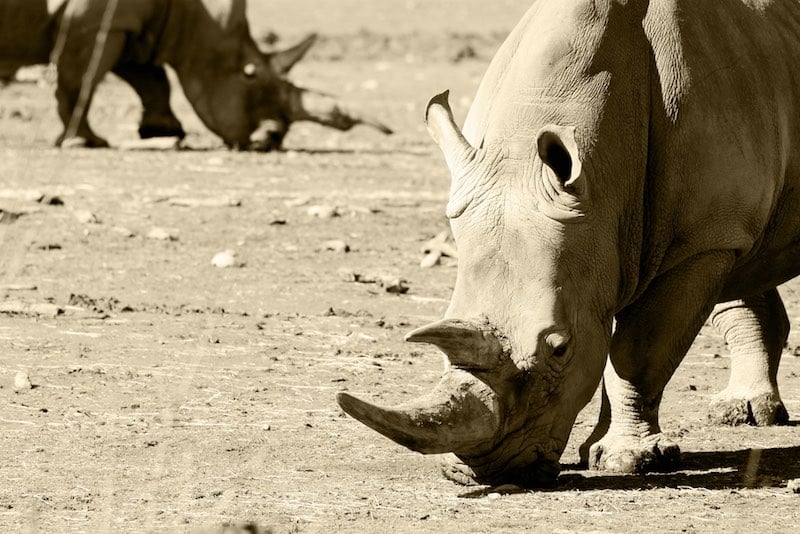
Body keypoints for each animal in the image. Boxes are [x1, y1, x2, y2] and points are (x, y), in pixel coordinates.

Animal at [0, 0, 390, 150]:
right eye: (249, 74)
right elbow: (81, 82)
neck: (189, 13)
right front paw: (85, 142)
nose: (271, 140)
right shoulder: (95, 23)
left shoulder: (128, 25)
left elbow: (151, 78)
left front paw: (162, 131)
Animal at [336, 0, 792, 488]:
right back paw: (741, 414)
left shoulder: (700, 242)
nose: (483, 471)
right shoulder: (695, 232)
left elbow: (636, 352)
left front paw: (625, 460)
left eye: (560, 348)